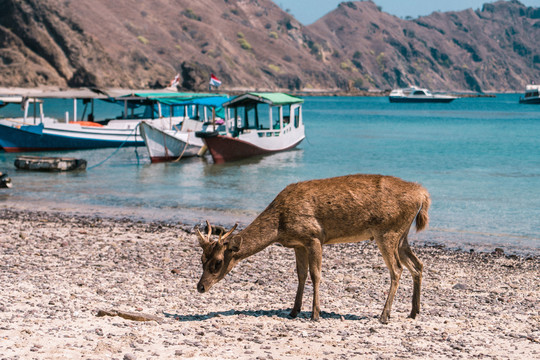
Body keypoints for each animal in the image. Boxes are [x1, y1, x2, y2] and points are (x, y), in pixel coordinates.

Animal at [196, 173, 432, 322]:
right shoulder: (297, 244)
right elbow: (300, 274)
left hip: (388, 231)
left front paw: (315, 314)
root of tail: (422, 194)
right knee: (417, 265)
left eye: (218, 262)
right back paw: (413, 312)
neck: (279, 225)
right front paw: (294, 310)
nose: (200, 287)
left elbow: (315, 274)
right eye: (201, 260)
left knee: (397, 269)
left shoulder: (313, 236)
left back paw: (384, 315)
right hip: (402, 235)